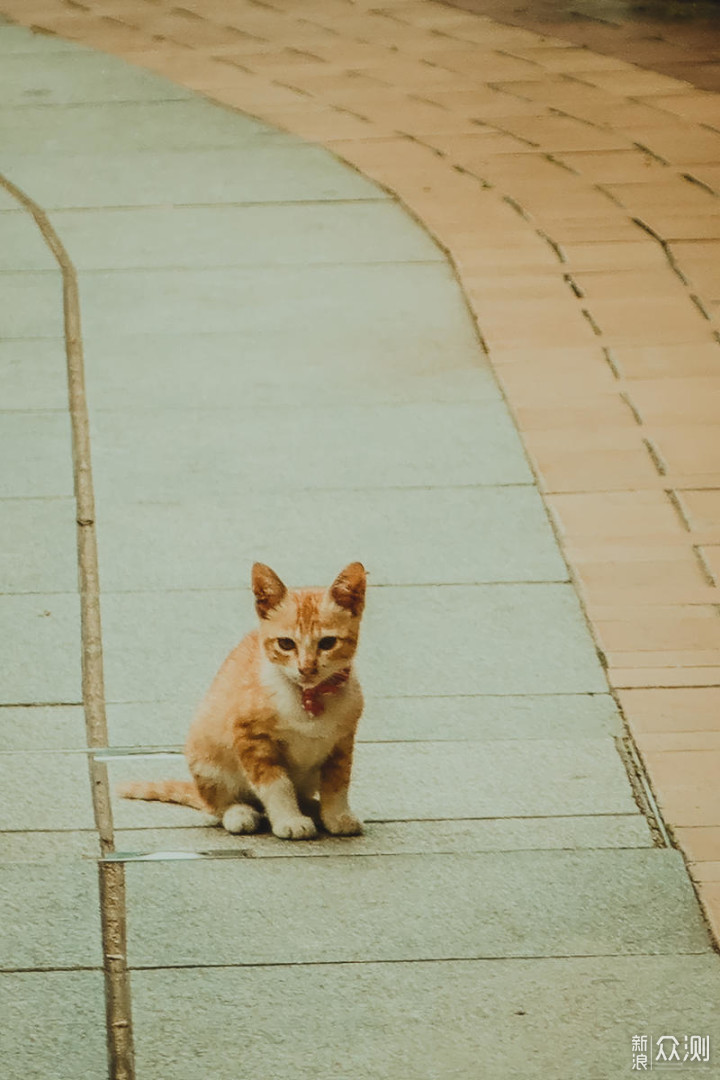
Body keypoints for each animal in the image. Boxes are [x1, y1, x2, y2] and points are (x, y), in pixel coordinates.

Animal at [119, 561, 367, 838]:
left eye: (328, 642)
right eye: (285, 644)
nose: (306, 668)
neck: (308, 695)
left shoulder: (343, 739)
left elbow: (338, 780)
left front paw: (337, 815)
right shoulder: (249, 734)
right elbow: (276, 783)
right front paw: (289, 819)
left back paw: (311, 807)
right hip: (205, 756)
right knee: (216, 805)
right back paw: (239, 812)